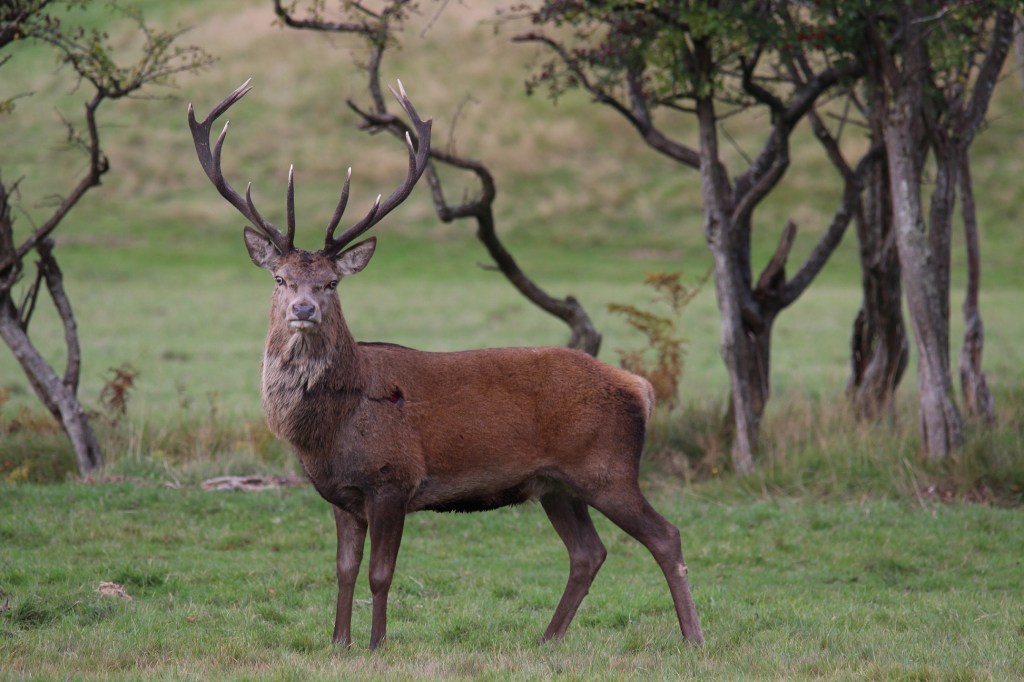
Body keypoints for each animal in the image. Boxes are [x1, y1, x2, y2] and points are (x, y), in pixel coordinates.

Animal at [187, 80, 704, 650]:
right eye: (280, 278)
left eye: (331, 282)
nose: (304, 309)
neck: (330, 430)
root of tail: (640, 387)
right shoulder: (341, 496)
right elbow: (343, 571)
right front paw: (339, 643)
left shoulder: (393, 479)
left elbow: (380, 573)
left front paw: (376, 645)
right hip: (556, 484)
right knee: (589, 552)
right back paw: (547, 641)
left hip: (607, 467)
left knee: (666, 536)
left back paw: (693, 639)